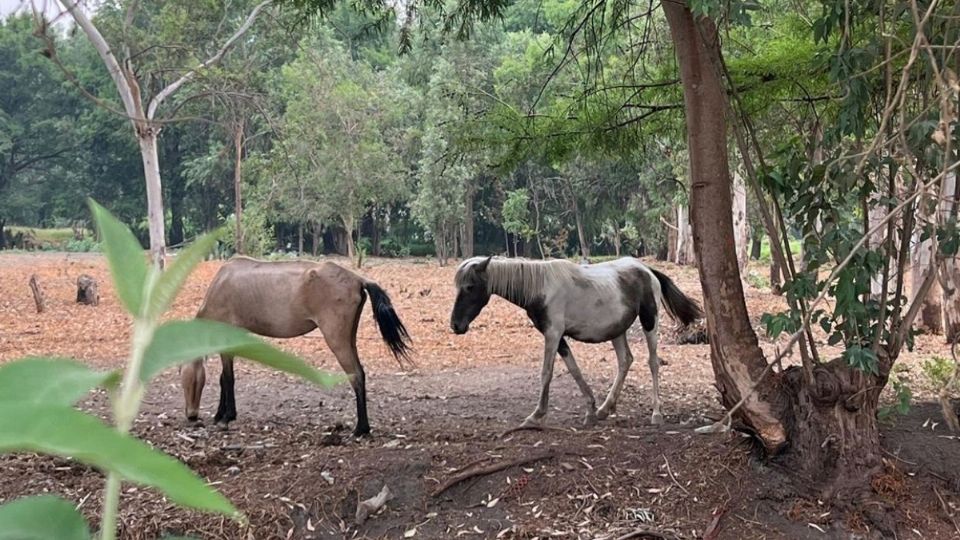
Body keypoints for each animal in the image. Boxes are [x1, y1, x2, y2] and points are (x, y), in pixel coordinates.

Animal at [182, 255, 410, 436]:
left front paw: (227, 416)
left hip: (336, 339)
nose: (191, 416)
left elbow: (228, 379)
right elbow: (223, 378)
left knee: (356, 375)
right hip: (348, 337)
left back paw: (360, 429)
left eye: (188, 382)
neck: (222, 285)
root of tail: (358, 279)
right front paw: (220, 414)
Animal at [446, 255, 700, 428]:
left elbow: (546, 373)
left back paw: (656, 413)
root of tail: (647, 270)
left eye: (470, 287)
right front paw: (590, 408)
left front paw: (536, 415)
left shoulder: (553, 334)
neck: (540, 287)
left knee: (653, 363)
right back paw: (605, 409)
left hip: (650, 322)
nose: (456, 325)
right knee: (625, 361)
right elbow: (574, 369)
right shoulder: (558, 337)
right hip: (617, 330)